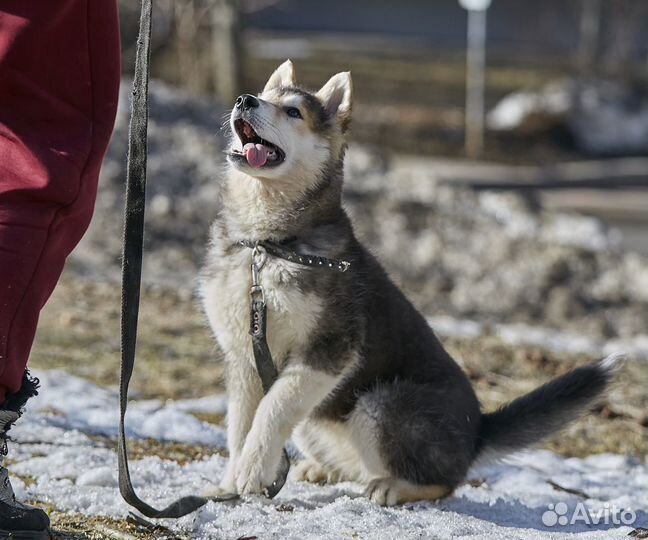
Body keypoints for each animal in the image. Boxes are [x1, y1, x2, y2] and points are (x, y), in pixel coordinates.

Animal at [200, 60, 620, 506]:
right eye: (266, 97)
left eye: (293, 111)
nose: (245, 99)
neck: (267, 245)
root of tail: (477, 432)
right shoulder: (245, 357)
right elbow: (241, 425)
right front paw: (231, 482)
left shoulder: (328, 350)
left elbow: (273, 409)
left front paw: (251, 470)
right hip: (319, 420)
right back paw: (324, 469)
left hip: (380, 403)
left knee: (441, 481)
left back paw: (393, 486)